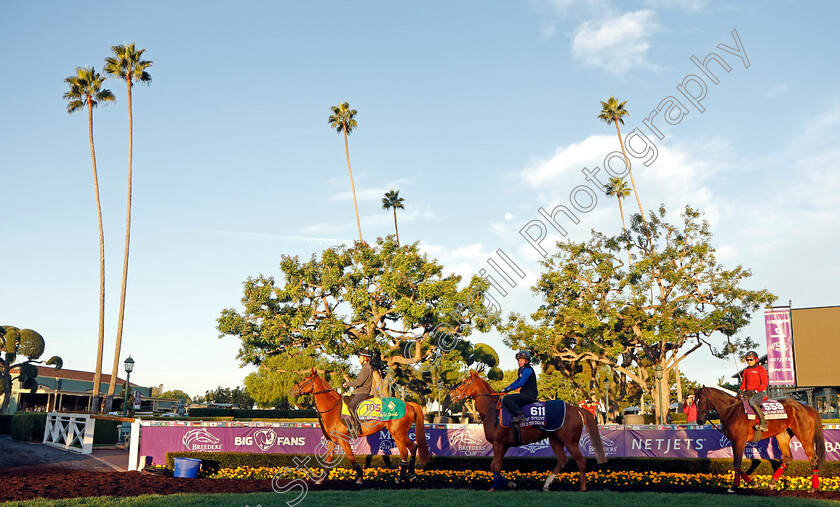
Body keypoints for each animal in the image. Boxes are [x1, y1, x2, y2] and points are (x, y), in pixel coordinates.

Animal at [292, 372, 430, 486]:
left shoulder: (342, 439)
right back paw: (400, 478)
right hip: (396, 434)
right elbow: (328, 459)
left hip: (399, 433)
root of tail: (408, 404)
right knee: (404, 452)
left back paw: (412, 475)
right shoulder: (332, 440)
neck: (333, 408)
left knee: (413, 447)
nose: (291, 390)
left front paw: (359, 477)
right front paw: (321, 479)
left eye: (305, 379)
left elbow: (350, 457)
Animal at [452, 372, 604, 494]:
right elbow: (494, 466)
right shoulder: (503, 445)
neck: (492, 409)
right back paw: (546, 484)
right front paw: (509, 483)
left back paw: (582, 488)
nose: (451, 394)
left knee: (581, 461)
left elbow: (496, 466)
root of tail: (575, 408)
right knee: (562, 460)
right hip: (555, 439)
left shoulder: (498, 443)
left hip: (570, 441)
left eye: (464, 382)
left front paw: (494, 488)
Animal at [696, 388, 828, 492]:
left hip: (804, 437)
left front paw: (737, 486)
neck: (732, 411)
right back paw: (772, 483)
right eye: (694, 402)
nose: (699, 421)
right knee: (787, 458)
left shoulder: (740, 440)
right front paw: (749, 483)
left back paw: (813, 488)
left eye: (702, 401)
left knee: (813, 458)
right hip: (782, 435)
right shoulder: (734, 441)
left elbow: (738, 464)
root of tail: (807, 407)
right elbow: (736, 464)